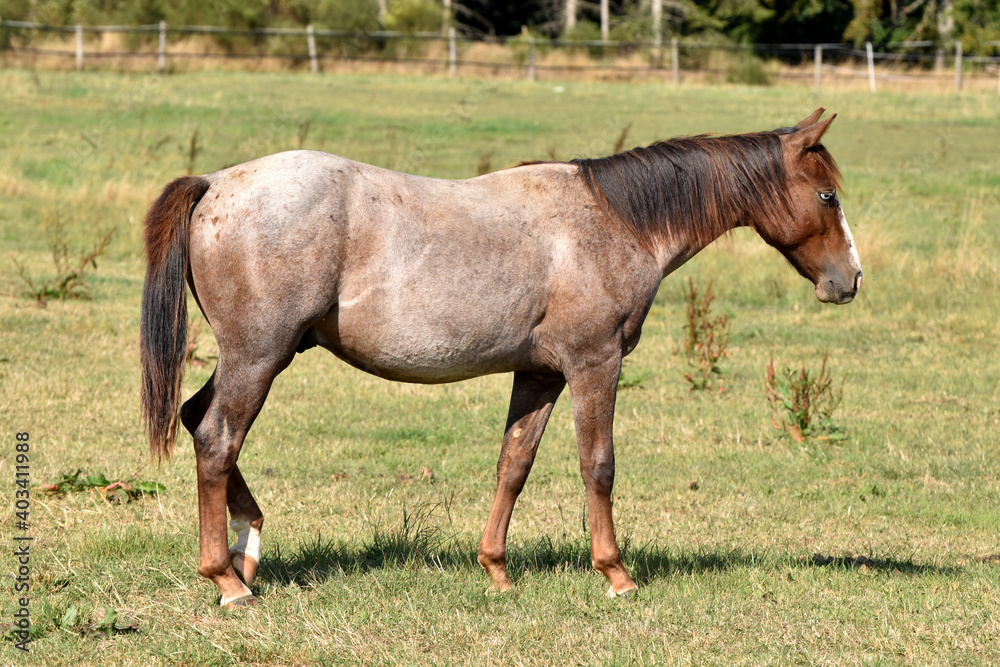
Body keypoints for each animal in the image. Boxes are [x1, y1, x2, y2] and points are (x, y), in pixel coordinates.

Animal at [140, 108, 862, 607]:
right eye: (827, 196)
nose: (849, 280)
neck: (615, 221)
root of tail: (216, 184)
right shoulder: (594, 365)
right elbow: (598, 466)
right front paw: (616, 574)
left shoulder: (539, 374)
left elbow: (513, 465)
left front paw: (496, 569)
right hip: (258, 358)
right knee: (217, 438)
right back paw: (227, 580)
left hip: (259, 357)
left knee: (195, 417)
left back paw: (248, 547)